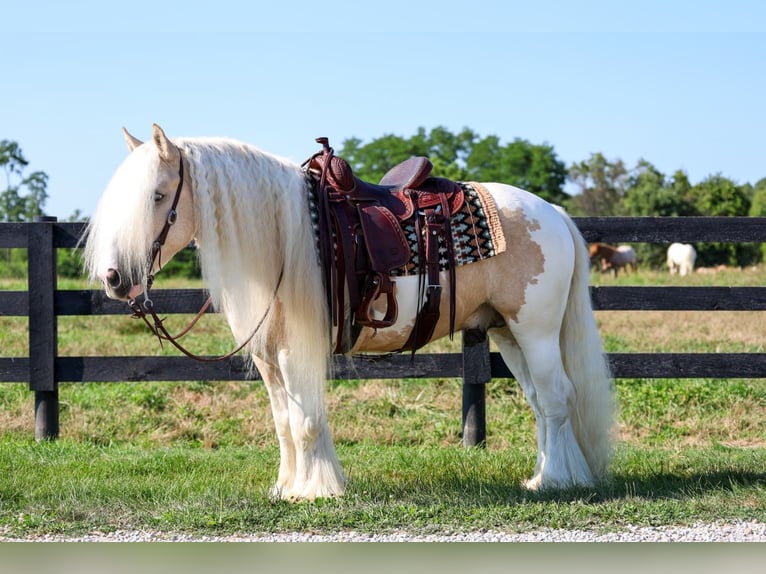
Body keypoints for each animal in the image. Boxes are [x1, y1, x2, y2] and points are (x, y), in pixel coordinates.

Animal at [83, 124, 615, 501]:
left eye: (157, 195)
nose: (115, 278)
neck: (280, 237)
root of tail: (553, 213)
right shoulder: (268, 357)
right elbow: (284, 424)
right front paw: (286, 488)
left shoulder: (297, 349)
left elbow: (306, 422)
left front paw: (317, 491)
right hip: (507, 332)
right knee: (541, 403)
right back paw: (545, 477)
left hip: (536, 330)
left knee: (556, 399)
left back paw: (556, 481)